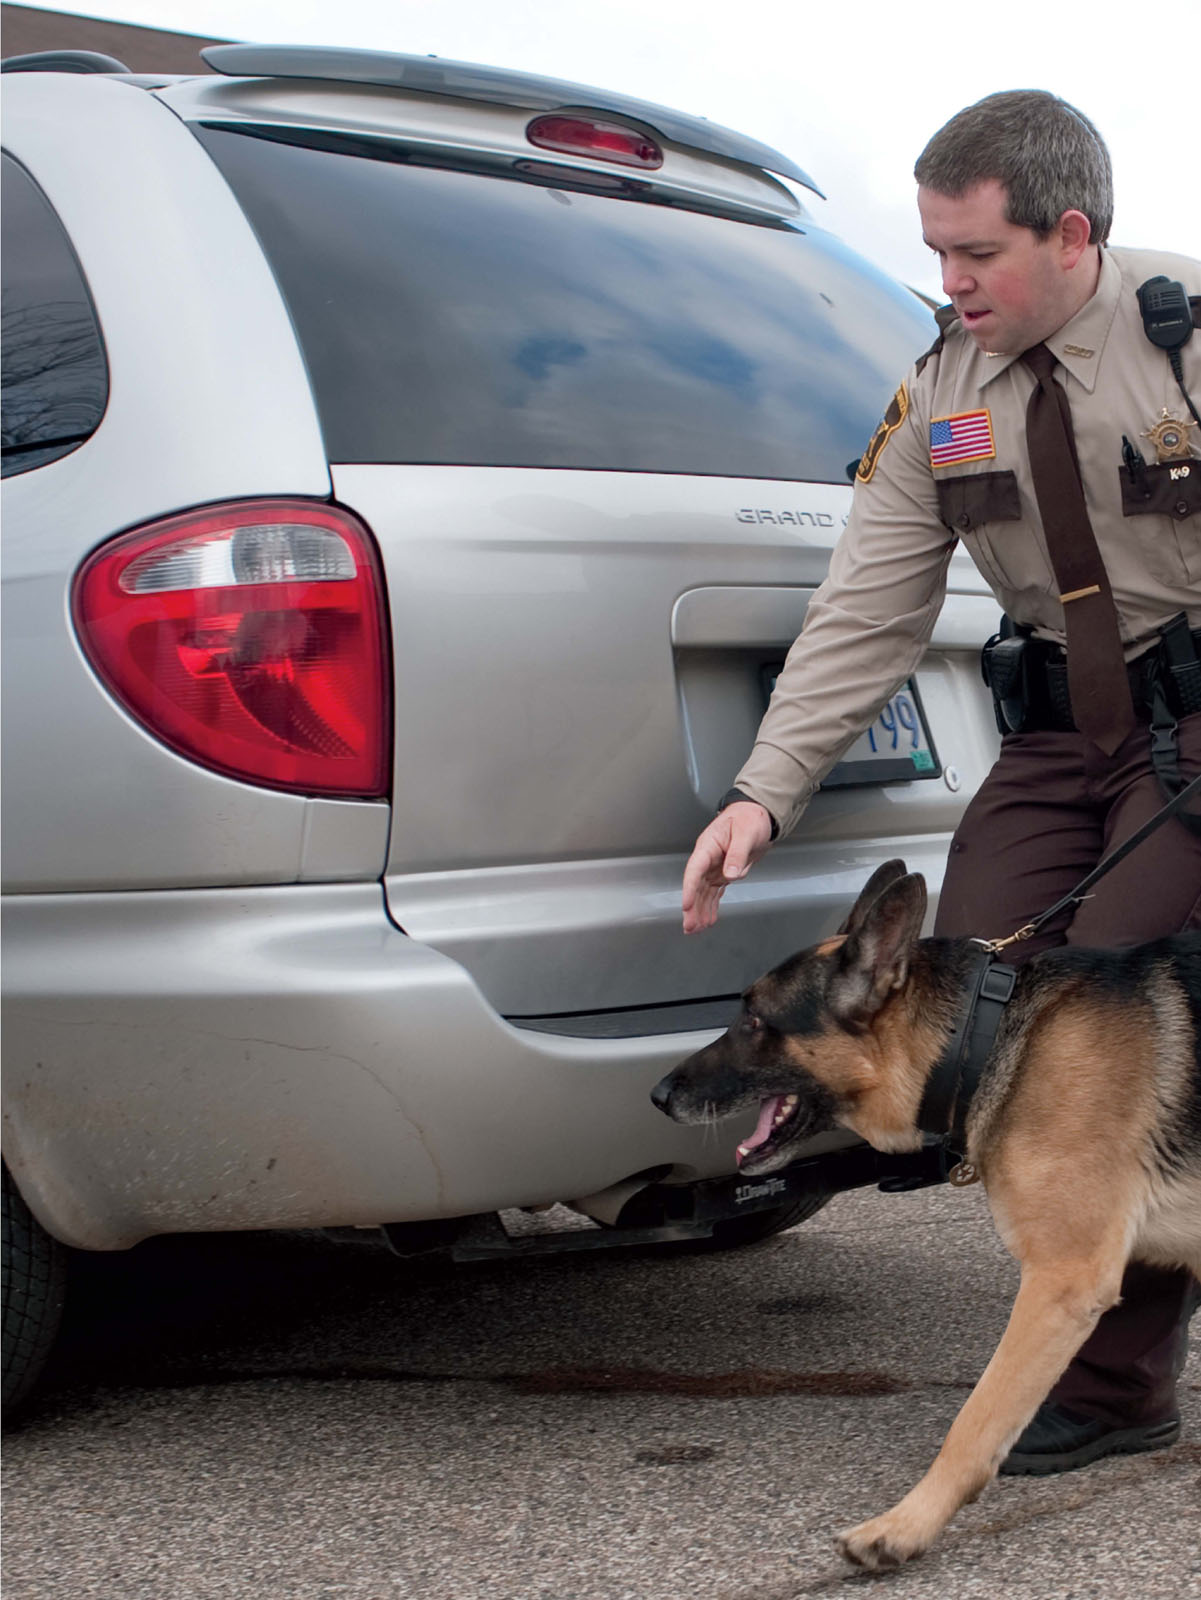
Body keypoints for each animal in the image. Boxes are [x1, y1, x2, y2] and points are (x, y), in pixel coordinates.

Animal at [658, 870, 1201, 1568]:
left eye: (754, 1018)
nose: (659, 1094)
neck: (991, 1040)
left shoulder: (1061, 1284)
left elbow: (975, 1421)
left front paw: (905, 1526)